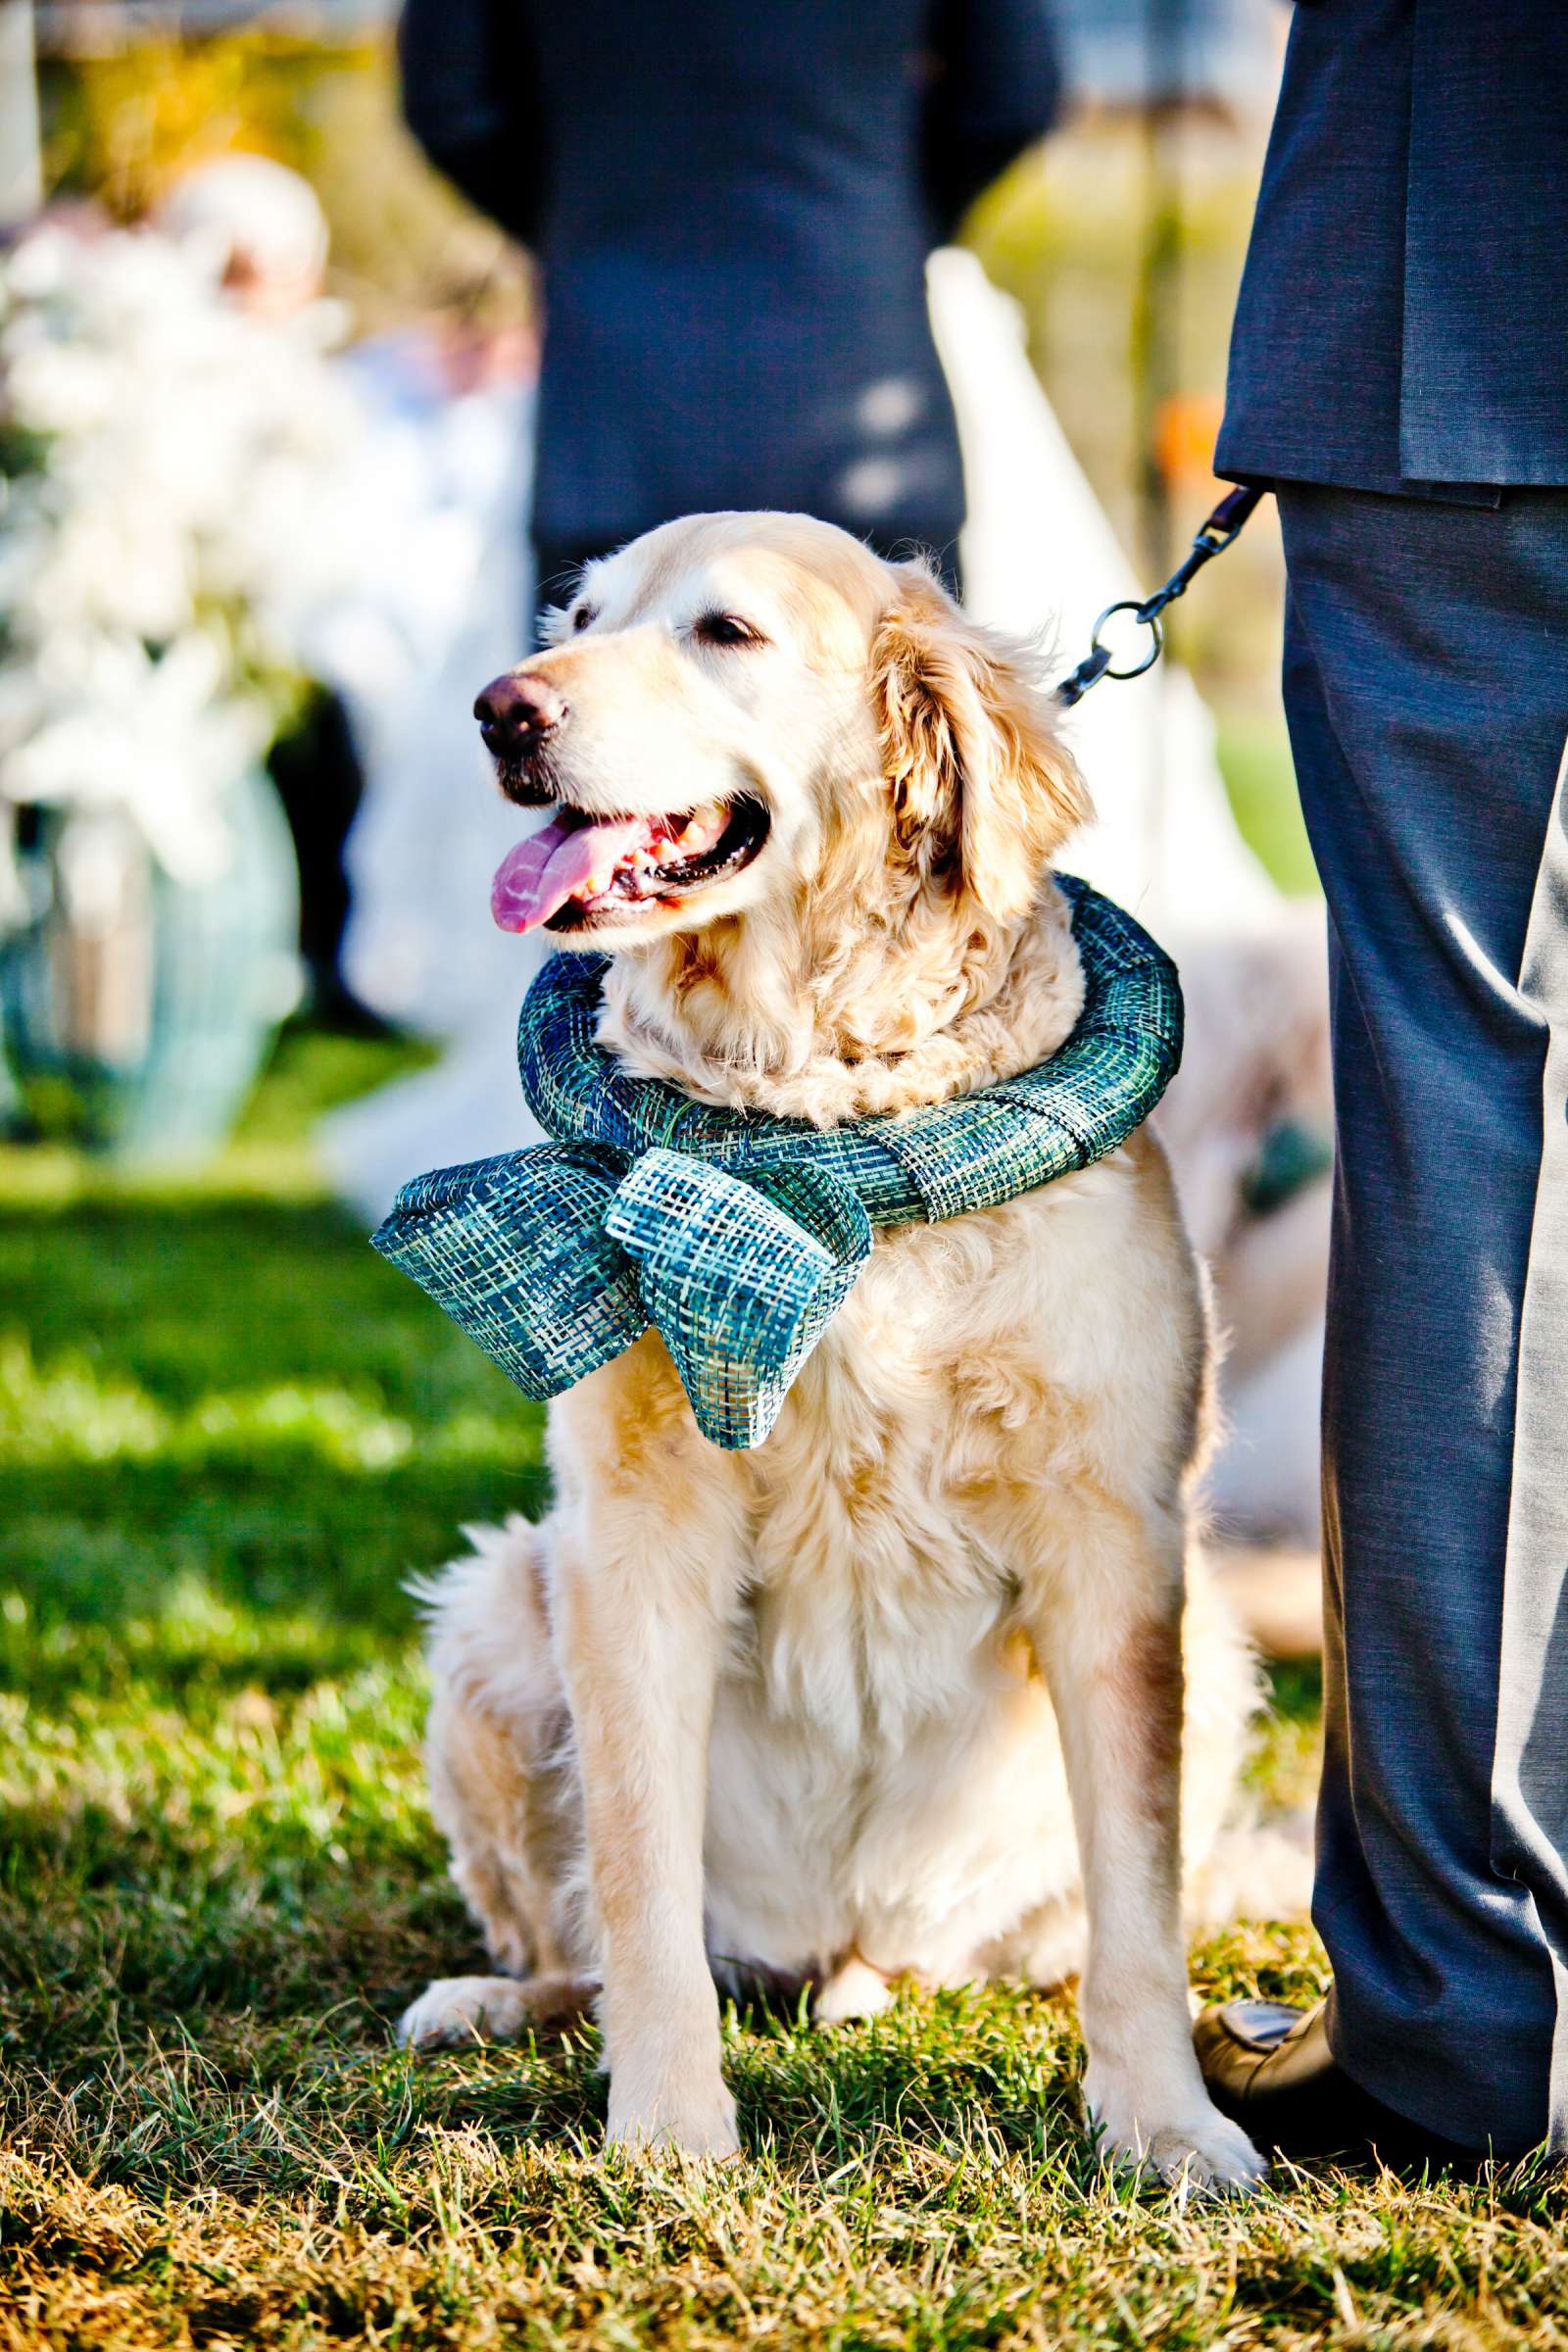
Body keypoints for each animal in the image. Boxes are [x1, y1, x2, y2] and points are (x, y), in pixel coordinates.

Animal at [392, 510, 1278, 2182]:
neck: (823, 1150)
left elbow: (1138, 1899)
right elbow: (638, 1882)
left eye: (725, 631)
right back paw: (496, 2001)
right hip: (497, 1611)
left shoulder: (1115, 1543)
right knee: (578, 1933)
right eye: (580, 616)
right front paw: (668, 2131)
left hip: (1215, 1669)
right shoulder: (630, 1539)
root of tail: (847, 1945)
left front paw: (1163, 2122)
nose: (497, 713)